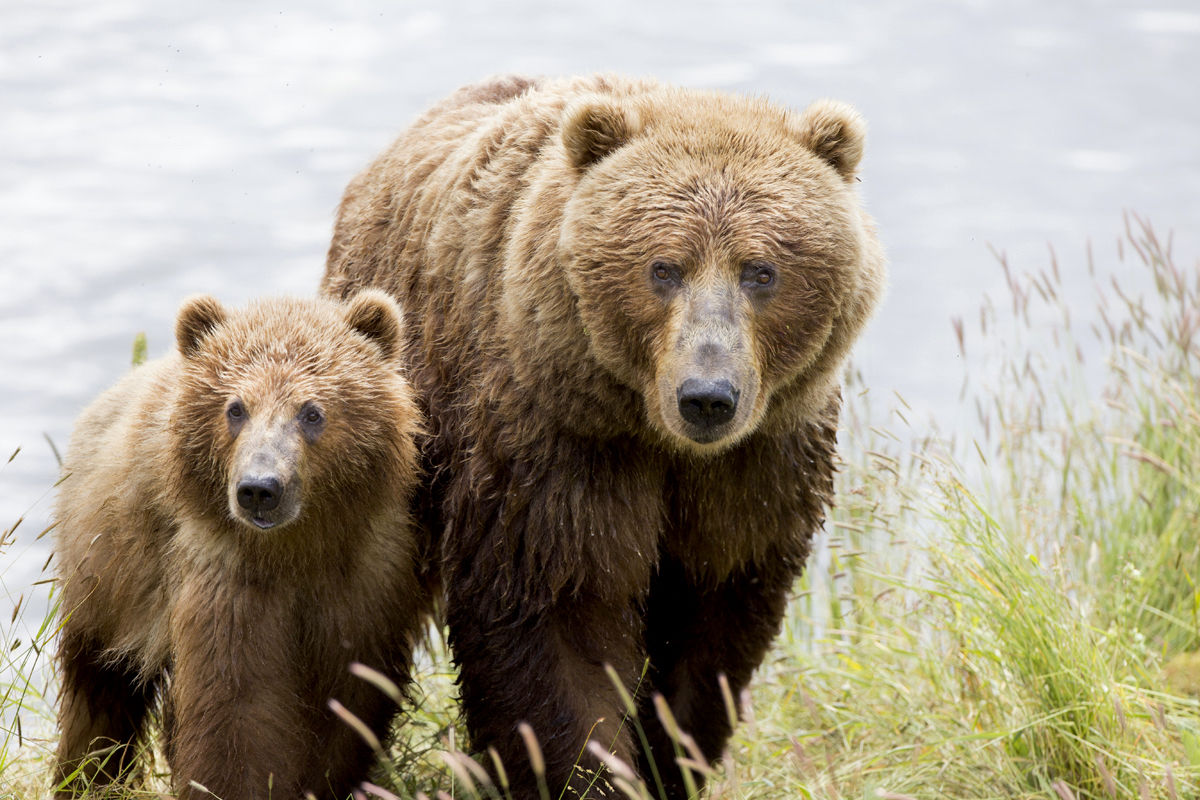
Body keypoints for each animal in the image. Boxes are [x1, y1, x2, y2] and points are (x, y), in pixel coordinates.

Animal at [324, 71, 888, 796]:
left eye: (761, 271)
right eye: (663, 267)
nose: (707, 397)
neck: (660, 438)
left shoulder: (757, 465)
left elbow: (715, 629)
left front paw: (672, 755)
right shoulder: (560, 449)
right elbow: (559, 622)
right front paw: (590, 771)